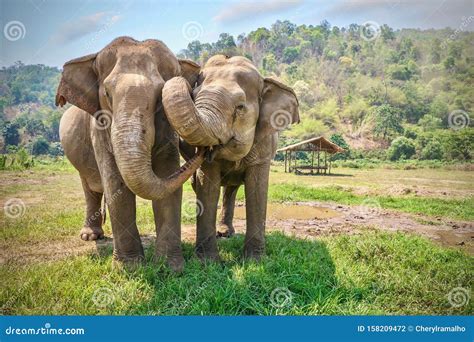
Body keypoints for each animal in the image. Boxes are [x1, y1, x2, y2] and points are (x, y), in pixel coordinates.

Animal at [56, 36, 204, 272]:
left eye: (160, 97)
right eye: (107, 94)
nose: (204, 150)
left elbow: (167, 176)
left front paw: (169, 267)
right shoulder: (99, 128)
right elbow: (116, 185)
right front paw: (129, 268)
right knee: (90, 188)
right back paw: (90, 237)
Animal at [161, 54, 298, 260]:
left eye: (240, 107)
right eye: (194, 97)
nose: (205, 150)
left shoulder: (264, 146)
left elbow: (257, 190)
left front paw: (255, 260)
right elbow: (208, 189)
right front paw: (207, 261)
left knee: (231, 189)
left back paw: (226, 232)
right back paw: (222, 233)